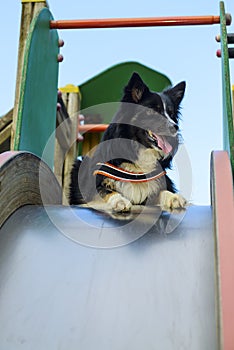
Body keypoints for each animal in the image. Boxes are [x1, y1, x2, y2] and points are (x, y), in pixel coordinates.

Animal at [69, 72, 186, 212]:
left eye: (171, 113)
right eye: (151, 111)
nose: (175, 127)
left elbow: (162, 191)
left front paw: (174, 197)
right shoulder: (90, 193)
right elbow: (105, 191)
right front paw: (119, 201)